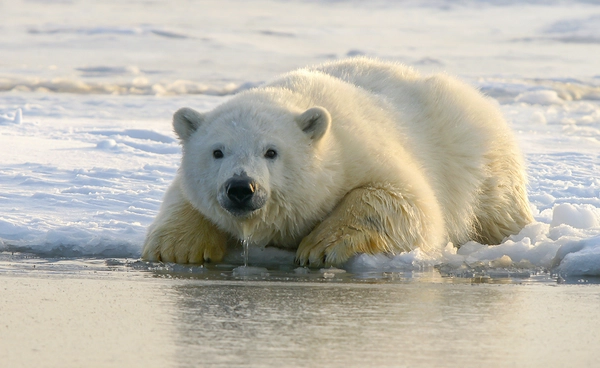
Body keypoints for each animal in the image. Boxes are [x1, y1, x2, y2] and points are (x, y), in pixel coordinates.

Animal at [143, 56, 532, 268]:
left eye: (271, 151)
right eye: (217, 151)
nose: (241, 188)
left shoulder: (361, 150)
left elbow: (407, 202)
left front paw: (319, 247)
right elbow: (182, 196)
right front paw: (177, 248)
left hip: (478, 158)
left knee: (498, 209)